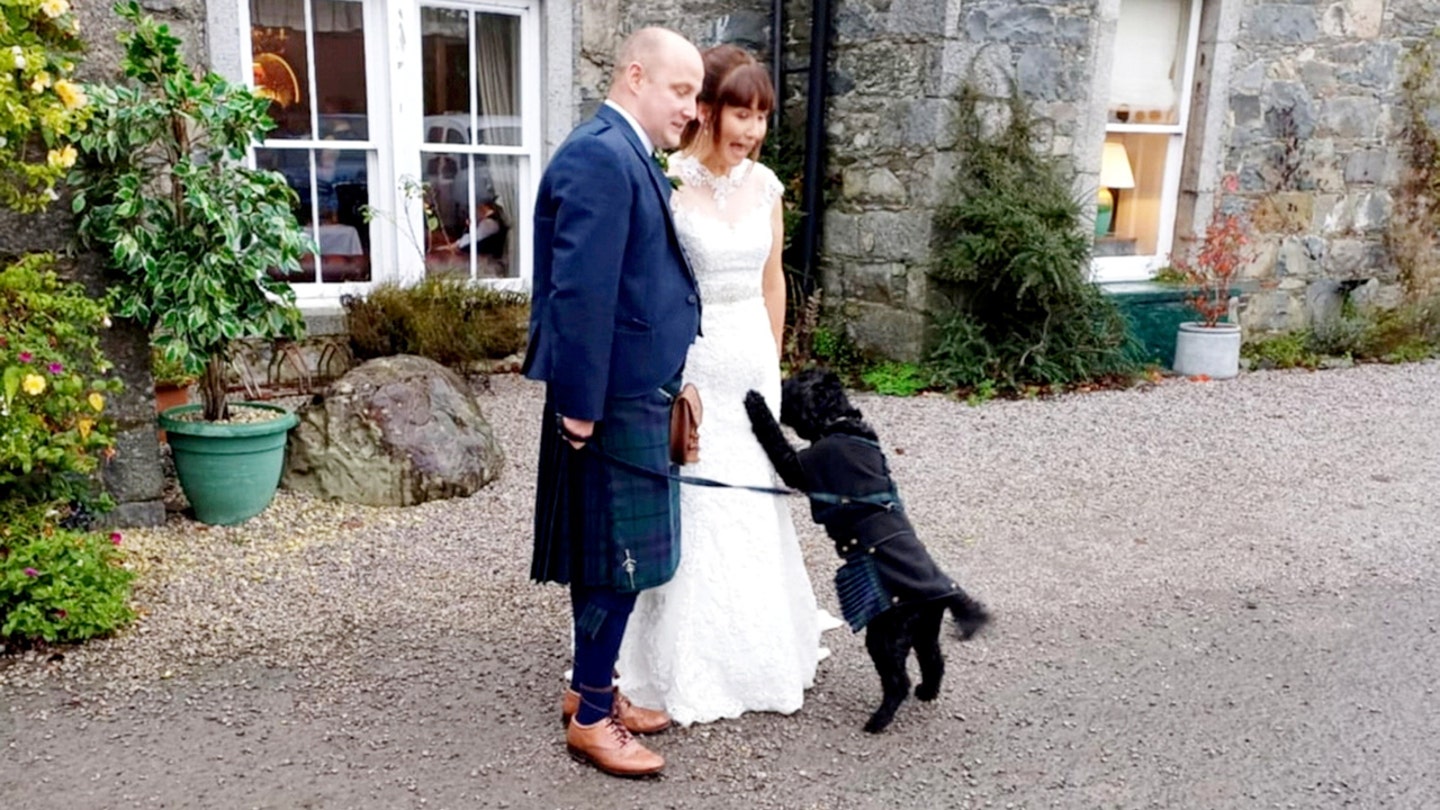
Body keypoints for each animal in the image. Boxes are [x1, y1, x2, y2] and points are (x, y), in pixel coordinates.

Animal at [743, 367, 990, 732]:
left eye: (795, 383)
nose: (779, 379)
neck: (839, 422)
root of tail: (943, 592)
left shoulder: (796, 466)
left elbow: (775, 440)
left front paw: (756, 404)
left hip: (886, 634)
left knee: (898, 680)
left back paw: (878, 720)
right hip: (923, 630)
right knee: (935, 660)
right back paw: (927, 692)